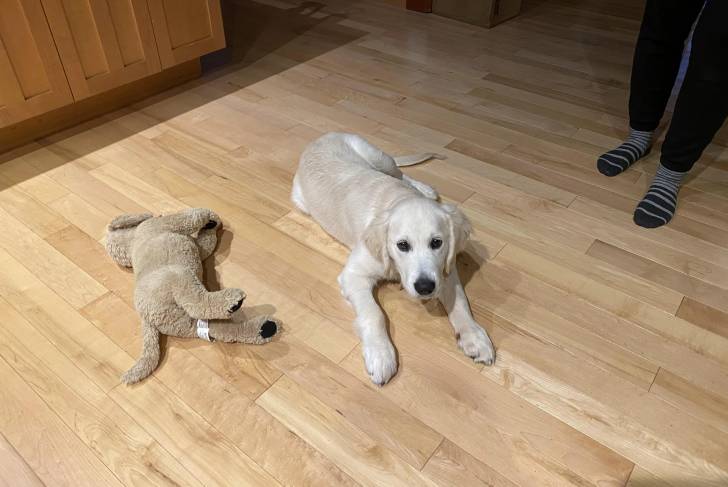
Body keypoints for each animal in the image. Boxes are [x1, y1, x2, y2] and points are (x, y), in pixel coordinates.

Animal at [292, 132, 495, 385]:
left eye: (437, 243)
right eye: (402, 245)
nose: (425, 287)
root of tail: (323, 137)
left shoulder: (444, 270)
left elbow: (460, 302)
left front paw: (475, 336)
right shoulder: (353, 275)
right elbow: (374, 314)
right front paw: (380, 355)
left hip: (380, 158)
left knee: (400, 173)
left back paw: (425, 189)